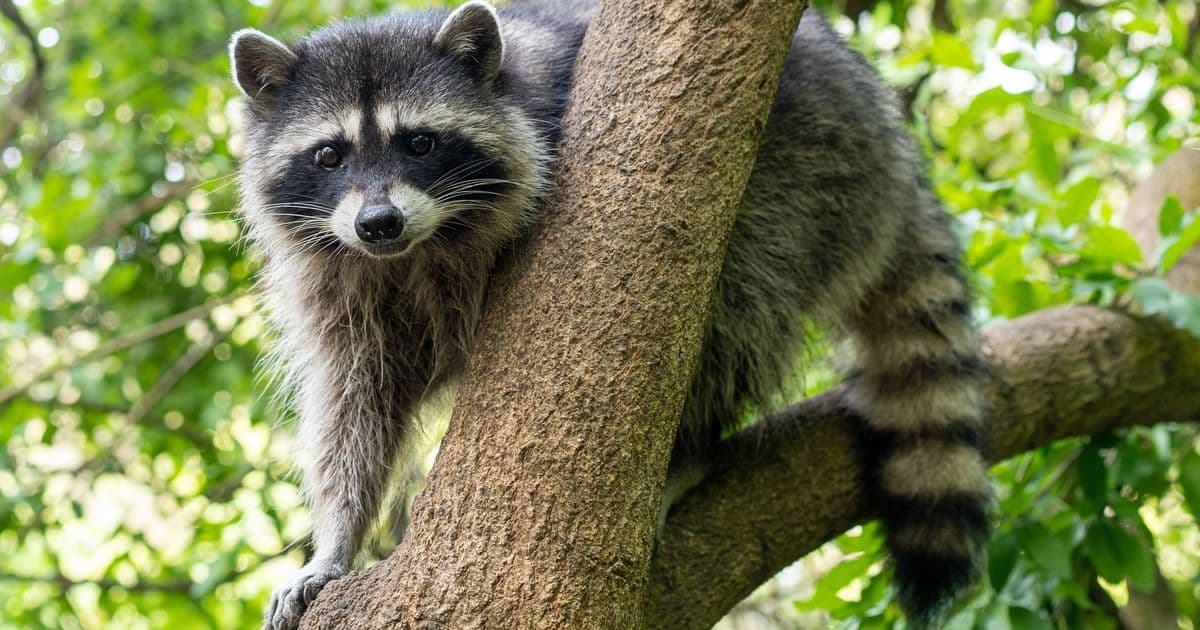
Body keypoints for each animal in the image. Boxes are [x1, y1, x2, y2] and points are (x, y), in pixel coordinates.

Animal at [230, 1, 991, 628]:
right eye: (330, 155)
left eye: (419, 143)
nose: (378, 222)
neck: (416, 248)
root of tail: (890, 143)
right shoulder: (340, 280)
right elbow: (355, 401)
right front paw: (336, 539)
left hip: (813, 168)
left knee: (737, 301)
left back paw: (690, 450)